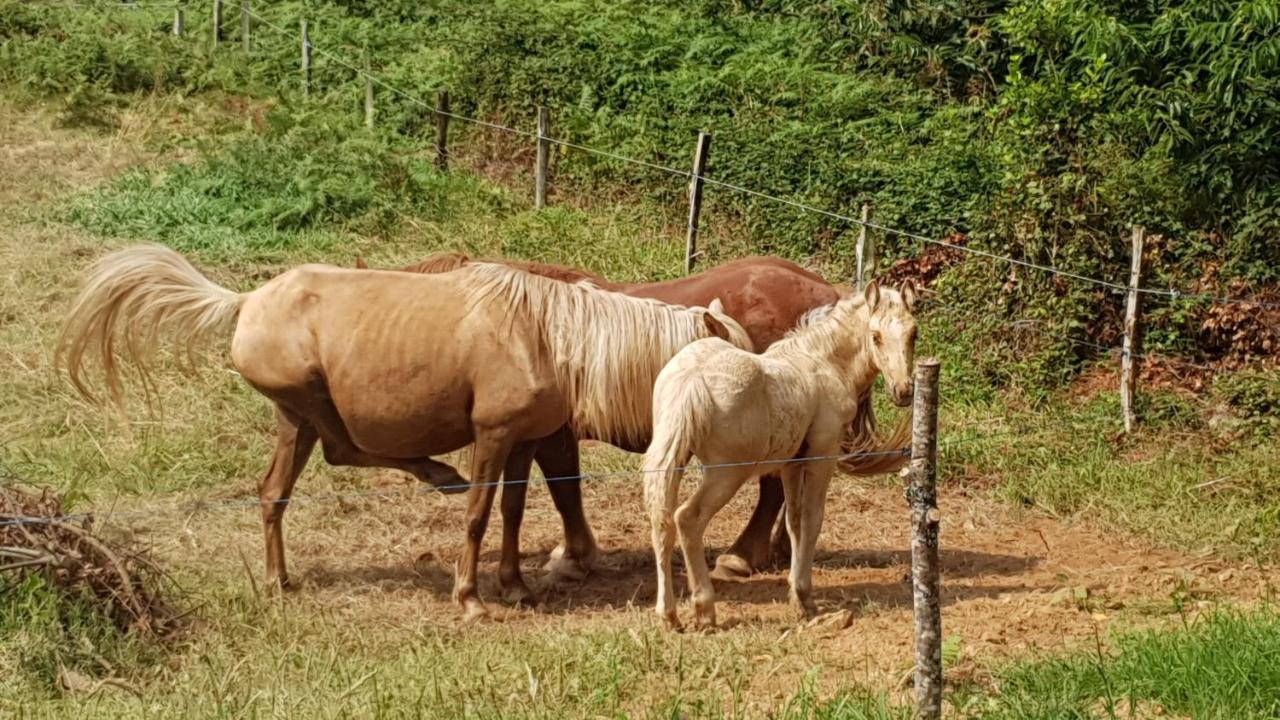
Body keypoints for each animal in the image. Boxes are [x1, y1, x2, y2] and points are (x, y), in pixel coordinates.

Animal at [60, 245, 752, 617]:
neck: (548, 337)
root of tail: (246, 301)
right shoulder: (493, 437)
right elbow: (479, 514)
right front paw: (470, 596)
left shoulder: (521, 440)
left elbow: (513, 511)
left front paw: (515, 586)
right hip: (310, 405)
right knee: (346, 452)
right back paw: (436, 474)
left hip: (293, 422)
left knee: (273, 493)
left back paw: (279, 580)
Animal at [360, 249, 911, 579]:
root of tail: (823, 291)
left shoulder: (553, 433)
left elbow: (564, 486)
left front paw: (573, 557)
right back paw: (773, 550)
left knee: (770, 488)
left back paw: (740, 556)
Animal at [645, 280, 916, 627]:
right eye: (876, 336)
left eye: (913, 333)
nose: (904, 391)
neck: (824, 362)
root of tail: (692, 379)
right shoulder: (822, 456)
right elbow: (813, 519)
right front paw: (805, 598)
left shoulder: (791, 464)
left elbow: (794, 521)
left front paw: (797, 595)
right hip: (726, 473)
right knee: (687, 518)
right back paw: (704, 609)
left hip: (671, 458)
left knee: (661, 520)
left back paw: (668, 615)